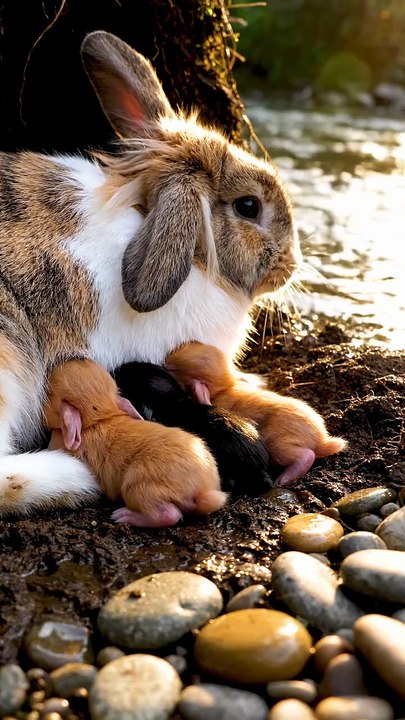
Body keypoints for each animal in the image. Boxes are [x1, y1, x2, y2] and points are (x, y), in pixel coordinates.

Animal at [44, 359, 226, 526]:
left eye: (49, 392)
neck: (102, 417)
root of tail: (203, 490)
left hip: (139, 488)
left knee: (169, 514)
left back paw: (123, 516)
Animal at [165, 342, 348, 486]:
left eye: (173, 368)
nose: (166, 358)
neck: (225, 385)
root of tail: (322, 440)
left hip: (278, 445)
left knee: (307, 455)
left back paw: (283, 480)